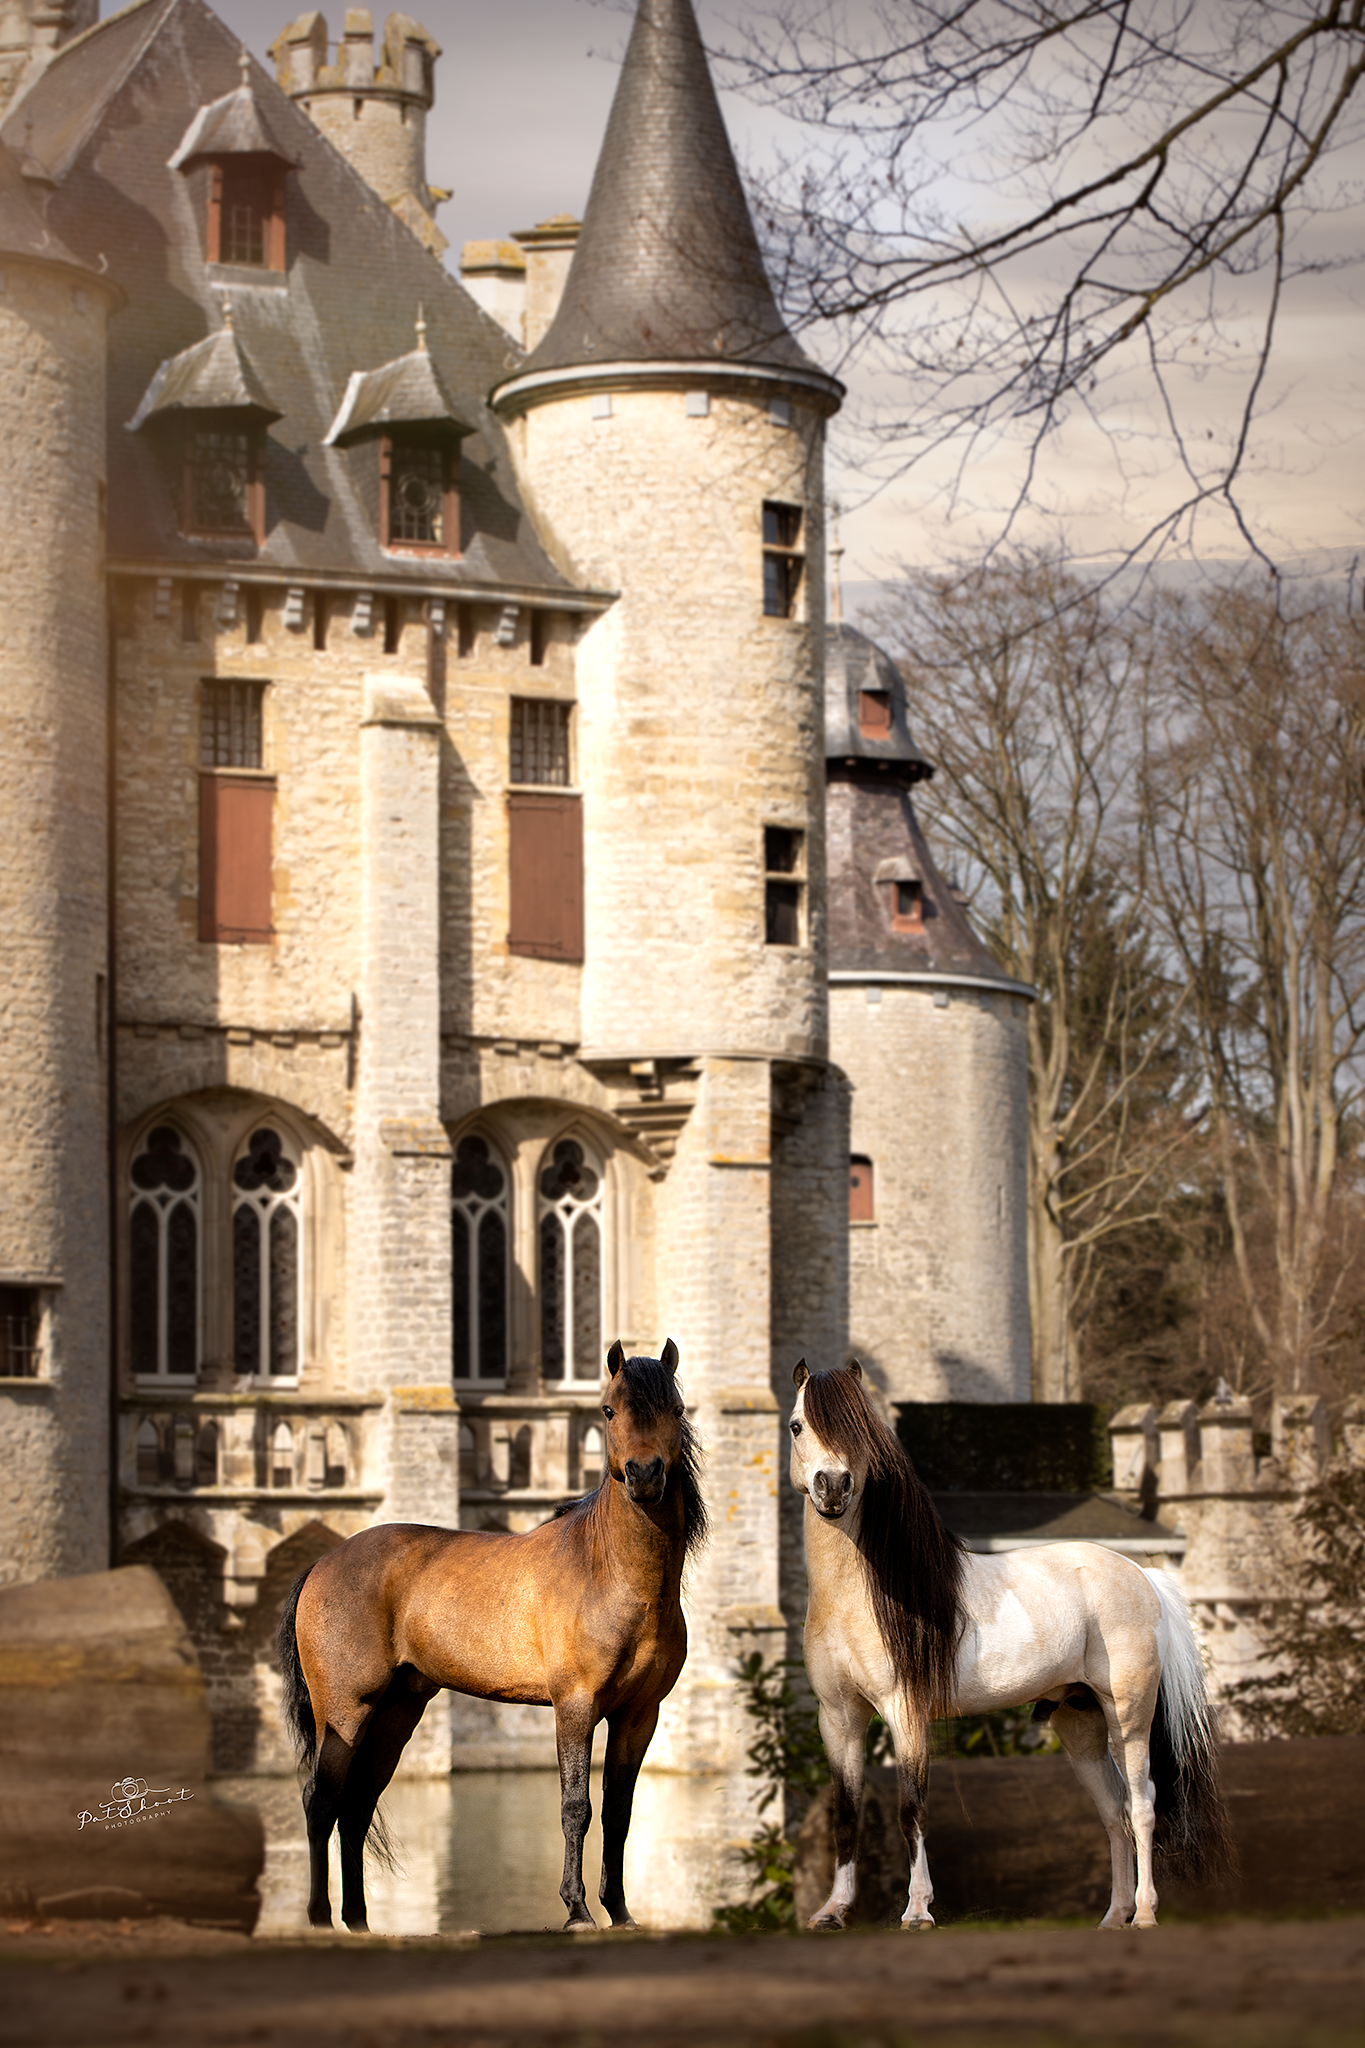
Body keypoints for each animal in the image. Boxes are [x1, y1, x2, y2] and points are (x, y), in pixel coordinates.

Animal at [276, 1339, 706, 1934]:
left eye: (675, 1408)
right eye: (608, 1409)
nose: (645, 1476)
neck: (613, 1573)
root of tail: (321, 1563)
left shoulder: (639, 1714)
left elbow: (618, 1810)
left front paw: (619, 1911)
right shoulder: (575, 1706)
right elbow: (576, 1806)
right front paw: (577, 1910)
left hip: (395, 1711)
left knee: (356, 1807)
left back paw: (359, 1921)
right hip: (343, 1710)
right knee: (321, 1800)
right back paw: (321, 1918)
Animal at [788, 1358, 1233, 1931]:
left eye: (860, 1429)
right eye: (797, 1425)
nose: (833, 1487)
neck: (857, 1597)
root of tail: (1142, 1575)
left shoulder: (905, 1711)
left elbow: (912, 1808)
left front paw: (918, 1910)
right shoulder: (839, 1718)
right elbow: (846, 1811)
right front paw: (833, 1911)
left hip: (1129, 1716)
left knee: (1142, 1805)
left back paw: (1145, 1914)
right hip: (1080, 1722)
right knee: (1112, 1812)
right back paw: (1113, 1916)